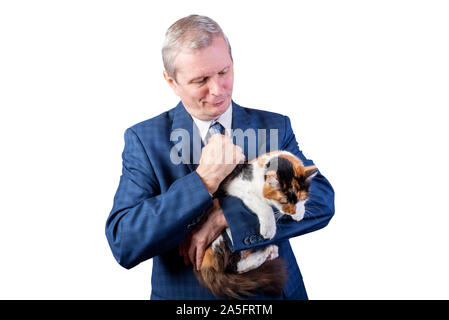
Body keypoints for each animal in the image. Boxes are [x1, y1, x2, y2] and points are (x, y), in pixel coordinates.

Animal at [192, 151, 316, 298]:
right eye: (283, 201)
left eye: (300, 199)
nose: (292, 212)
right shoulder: (238, 187)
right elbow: (263, 205)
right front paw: (269, 229)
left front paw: (299, 213)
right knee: (233, 265)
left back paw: (270, 252)